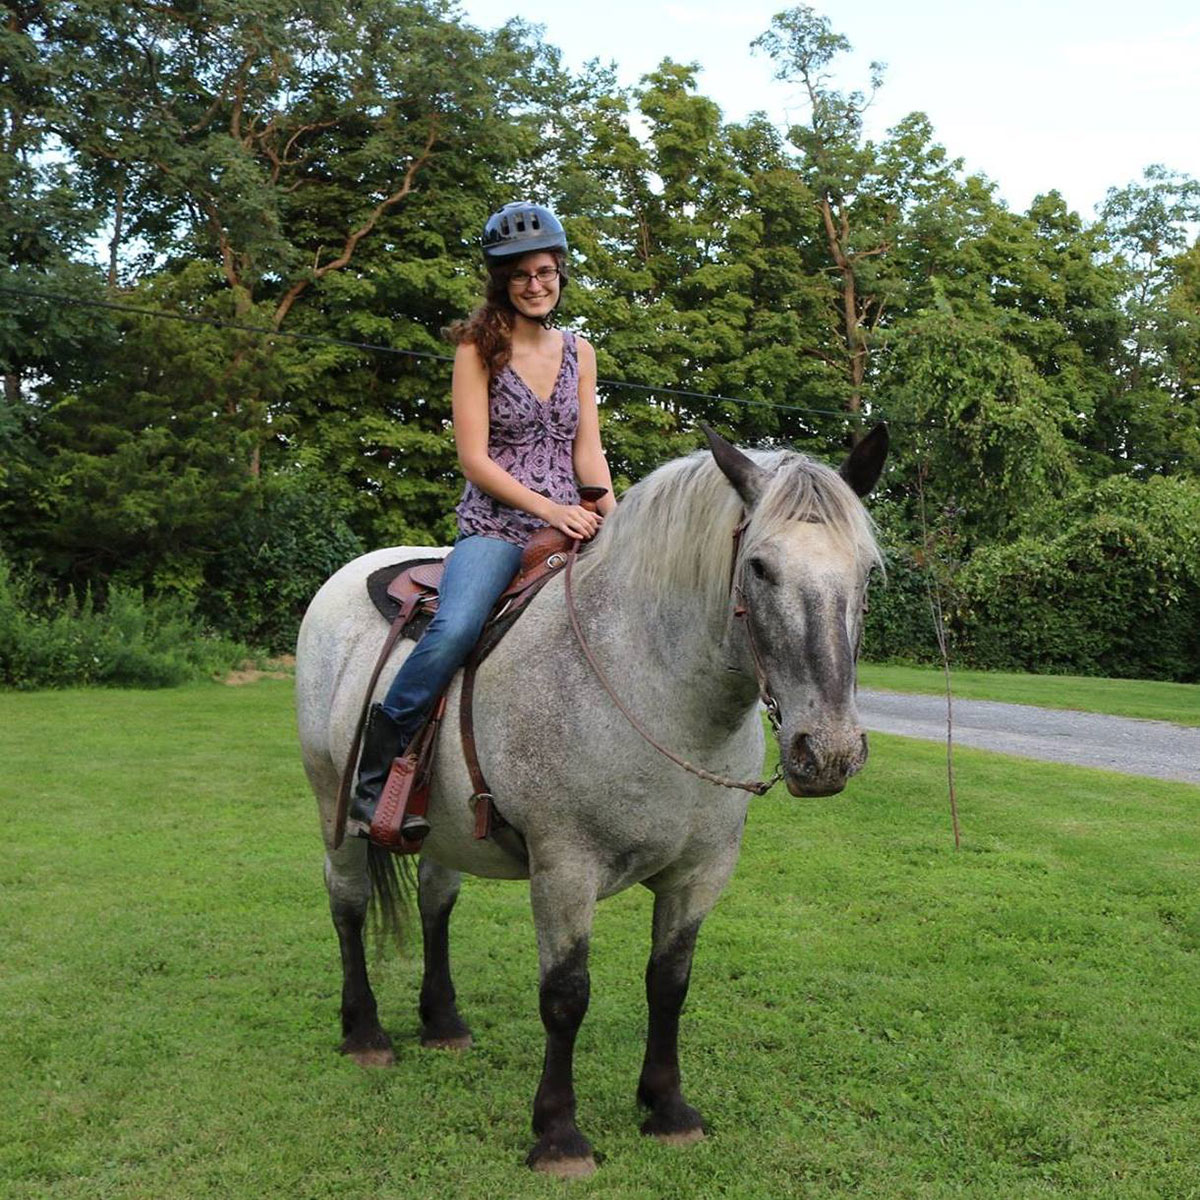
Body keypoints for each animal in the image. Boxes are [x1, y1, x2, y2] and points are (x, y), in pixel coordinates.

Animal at [295, 425, 887, 1178]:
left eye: (865, 572)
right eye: (758, 567)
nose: (829, 751)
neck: (650, 683)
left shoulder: (700, 873)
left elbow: (669, 983)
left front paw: (667, 1108)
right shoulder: (564, 870)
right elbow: (565, 996)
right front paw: (558, 1133)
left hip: (442, 830)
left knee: (436, 903)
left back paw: (444, 1022)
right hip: (335, 811)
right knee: (347, 904)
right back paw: (366, 1032)